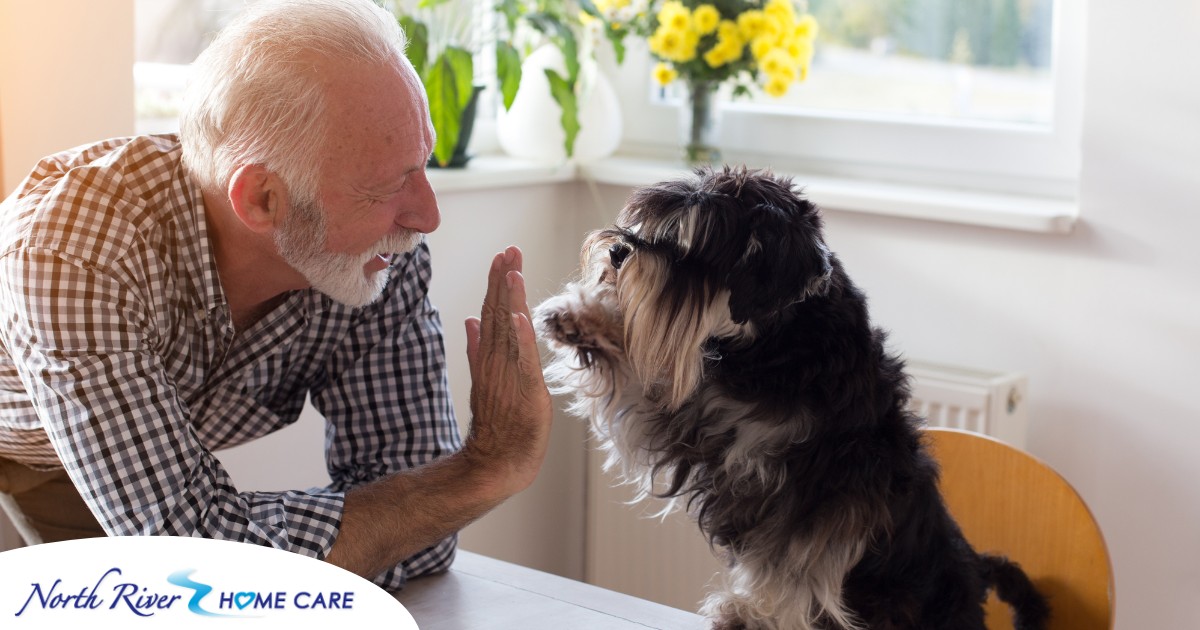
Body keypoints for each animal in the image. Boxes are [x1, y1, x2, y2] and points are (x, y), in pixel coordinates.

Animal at [535, 166, 1051, 628]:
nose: (618, 250)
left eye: (695, 246)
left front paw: (753, 614)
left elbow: (794, 563)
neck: (777, 346)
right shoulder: (694, 418)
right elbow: (640, 380)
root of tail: (976, 574)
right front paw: (579, 317)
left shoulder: (824, 492)